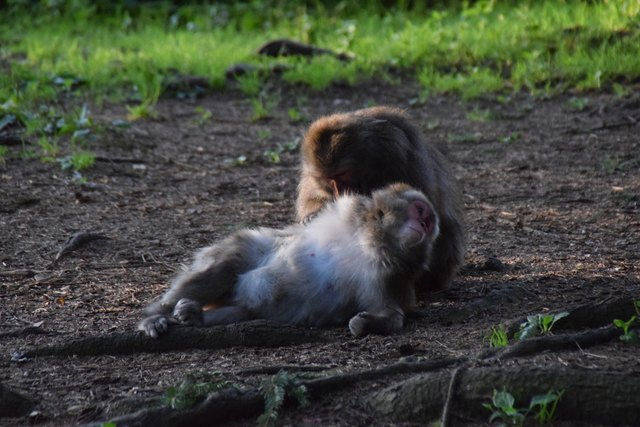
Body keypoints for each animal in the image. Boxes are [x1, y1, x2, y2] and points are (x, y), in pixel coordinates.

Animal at [139, 183, 440, 338]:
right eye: (420, 211)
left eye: (428, 220)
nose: (425, 223)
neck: (371, 243)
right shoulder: (350, 210)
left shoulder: (391, 273)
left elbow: (391, 312)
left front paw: (366, 324)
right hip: (246, 254)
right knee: (229, 262)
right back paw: (154, 316)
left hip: (244, 304)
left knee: (243, 310)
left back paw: (197, 317)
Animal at [296, 107, 464, 294]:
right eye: (328, 178)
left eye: (341, 174)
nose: (340, 190)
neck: (372, 159)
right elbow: (312, 197)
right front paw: (312, 214)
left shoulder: (399, 153)